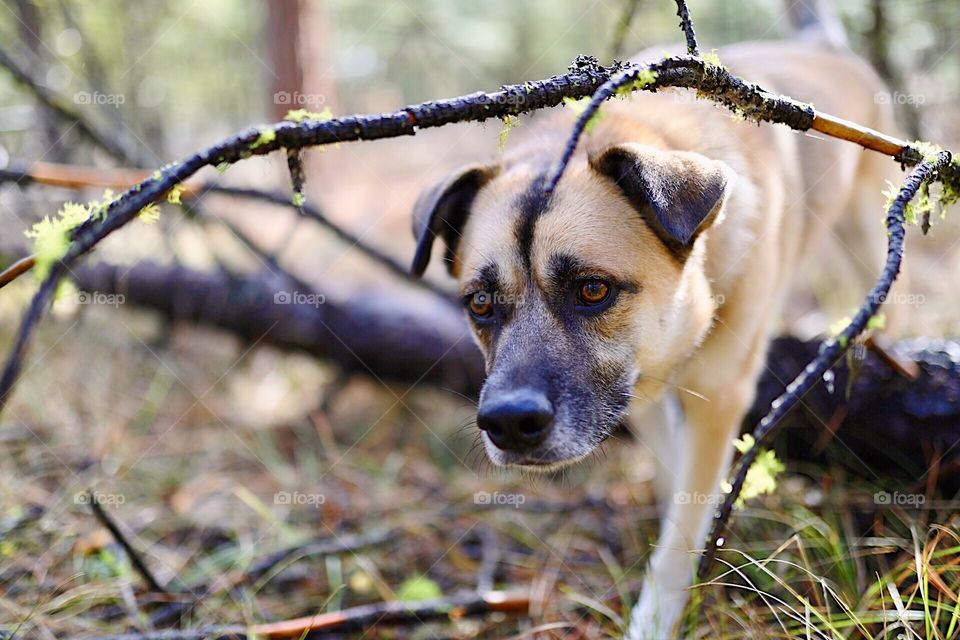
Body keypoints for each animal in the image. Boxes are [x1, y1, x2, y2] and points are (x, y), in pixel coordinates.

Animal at [410, 2, 900, 636]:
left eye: (593, 289)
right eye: (479, 304)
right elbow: (674, 483)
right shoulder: (637, 393)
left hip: (869, 234)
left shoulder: (718, 396)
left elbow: (686, 521)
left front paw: (661, 610)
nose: (509, 425)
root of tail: (826, 48)